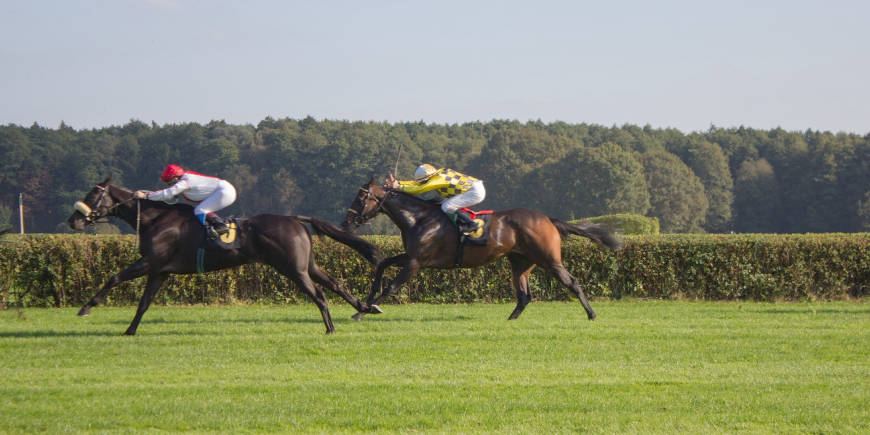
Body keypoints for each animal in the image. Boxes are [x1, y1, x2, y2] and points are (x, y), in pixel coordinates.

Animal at [68, 175, 382, 336]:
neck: (154, 219)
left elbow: (114, 277)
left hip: (293, 268)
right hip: (307, 265)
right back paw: (366, 307)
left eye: (93, 195)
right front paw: (130, 331)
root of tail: (293, 218)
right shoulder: (160, 271)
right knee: (335, 284)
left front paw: (86, 307)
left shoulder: (150, 262)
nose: (73, 220)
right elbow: (144, 303)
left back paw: (330, 328)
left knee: (319, 294)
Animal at [344, 178, 624, 324]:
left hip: (549, 259)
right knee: (524, 295)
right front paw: (368, 299)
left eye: (361, 197)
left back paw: (591, 314)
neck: (418, 218)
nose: (346, 221)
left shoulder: (416, 262)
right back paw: (510, 320)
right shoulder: (412, 256)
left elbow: (392, 287)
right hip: (520, 262)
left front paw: (363, 311)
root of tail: (548, 219)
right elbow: (382, 264)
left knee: (571, 282)